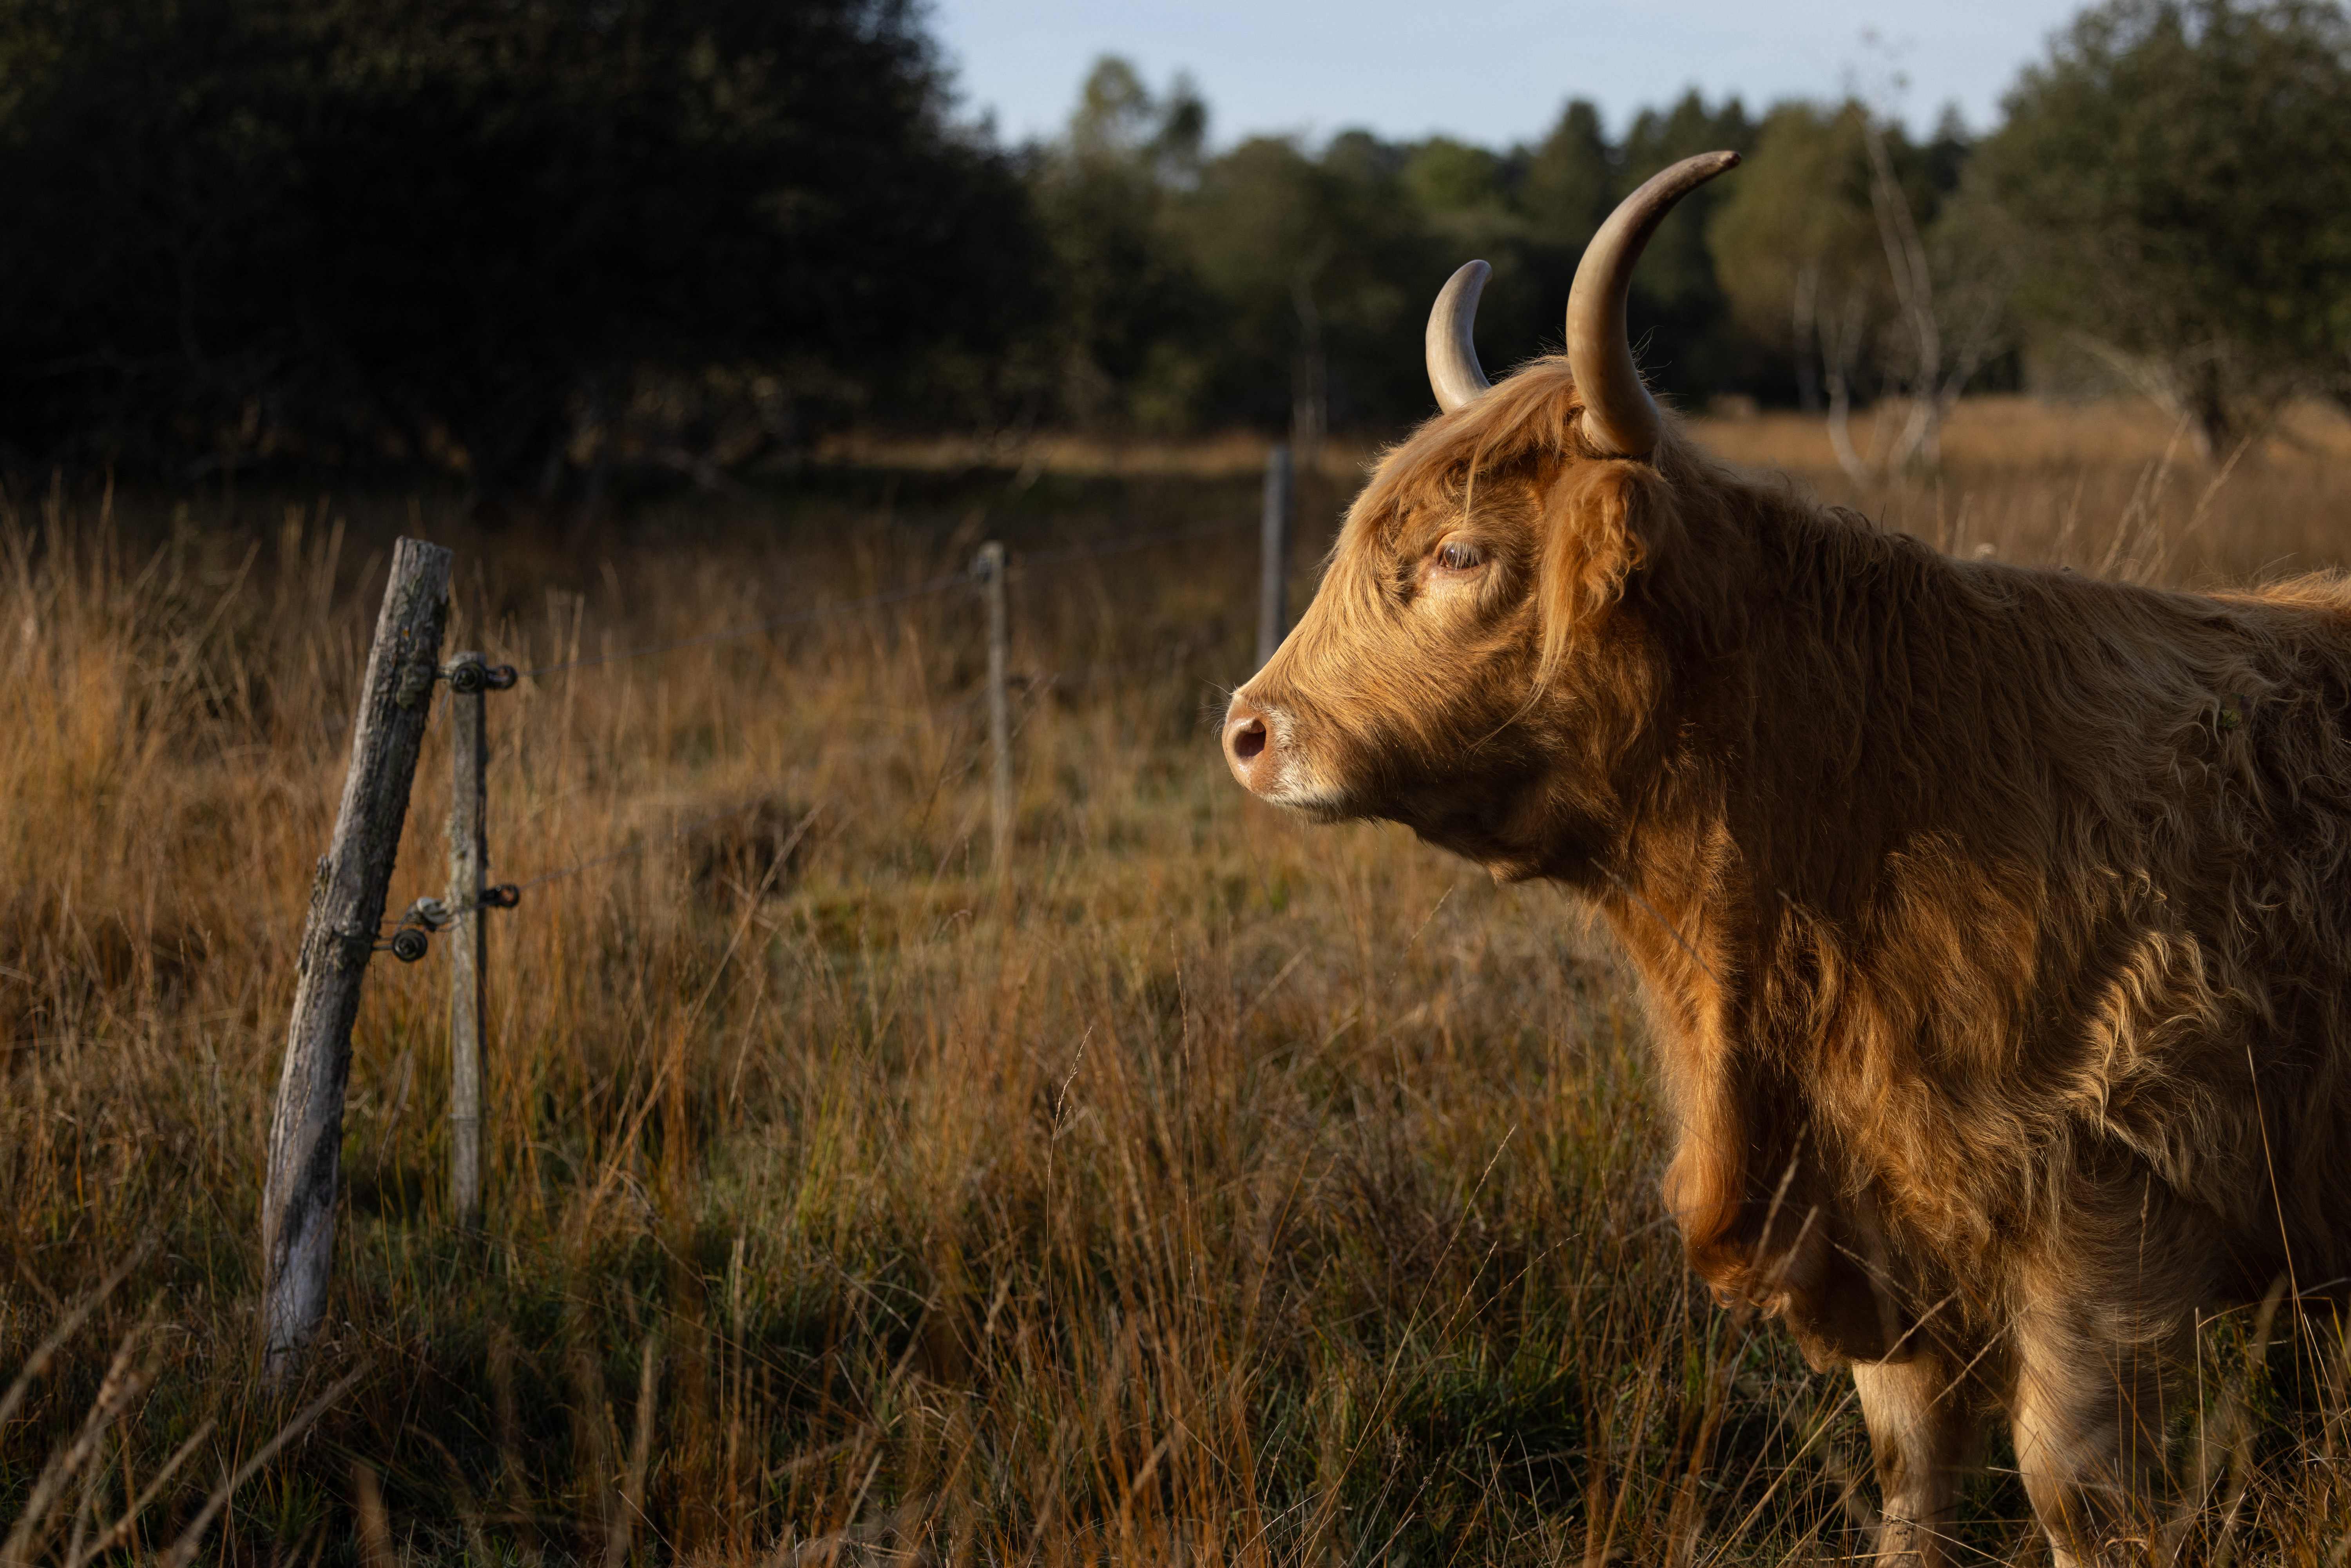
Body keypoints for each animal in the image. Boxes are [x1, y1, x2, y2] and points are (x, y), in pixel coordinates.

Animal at [1223, 150, 2351, 1568]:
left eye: (1462, 552)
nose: (1250, 731)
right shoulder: (1876, 1239)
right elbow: (1911, 1473)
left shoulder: (2111, 1223)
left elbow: (2073, 1489)